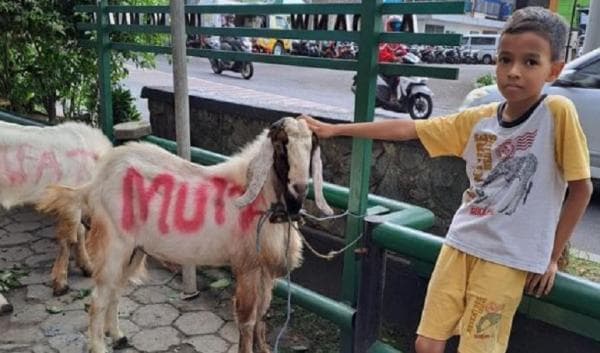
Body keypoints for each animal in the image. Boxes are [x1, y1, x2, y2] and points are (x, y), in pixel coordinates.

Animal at [38, 117, 332, 352]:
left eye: (311, 147)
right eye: (282, 147)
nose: (299, 190)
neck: (257, 196)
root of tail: (96, 182)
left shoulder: (264, 271)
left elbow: (262, 313)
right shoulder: (247, 266)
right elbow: (248, 319)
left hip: (134, 249)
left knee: (115, 291)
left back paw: (119, 336)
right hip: (114, 244)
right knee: (98, 298)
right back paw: (99, 345)